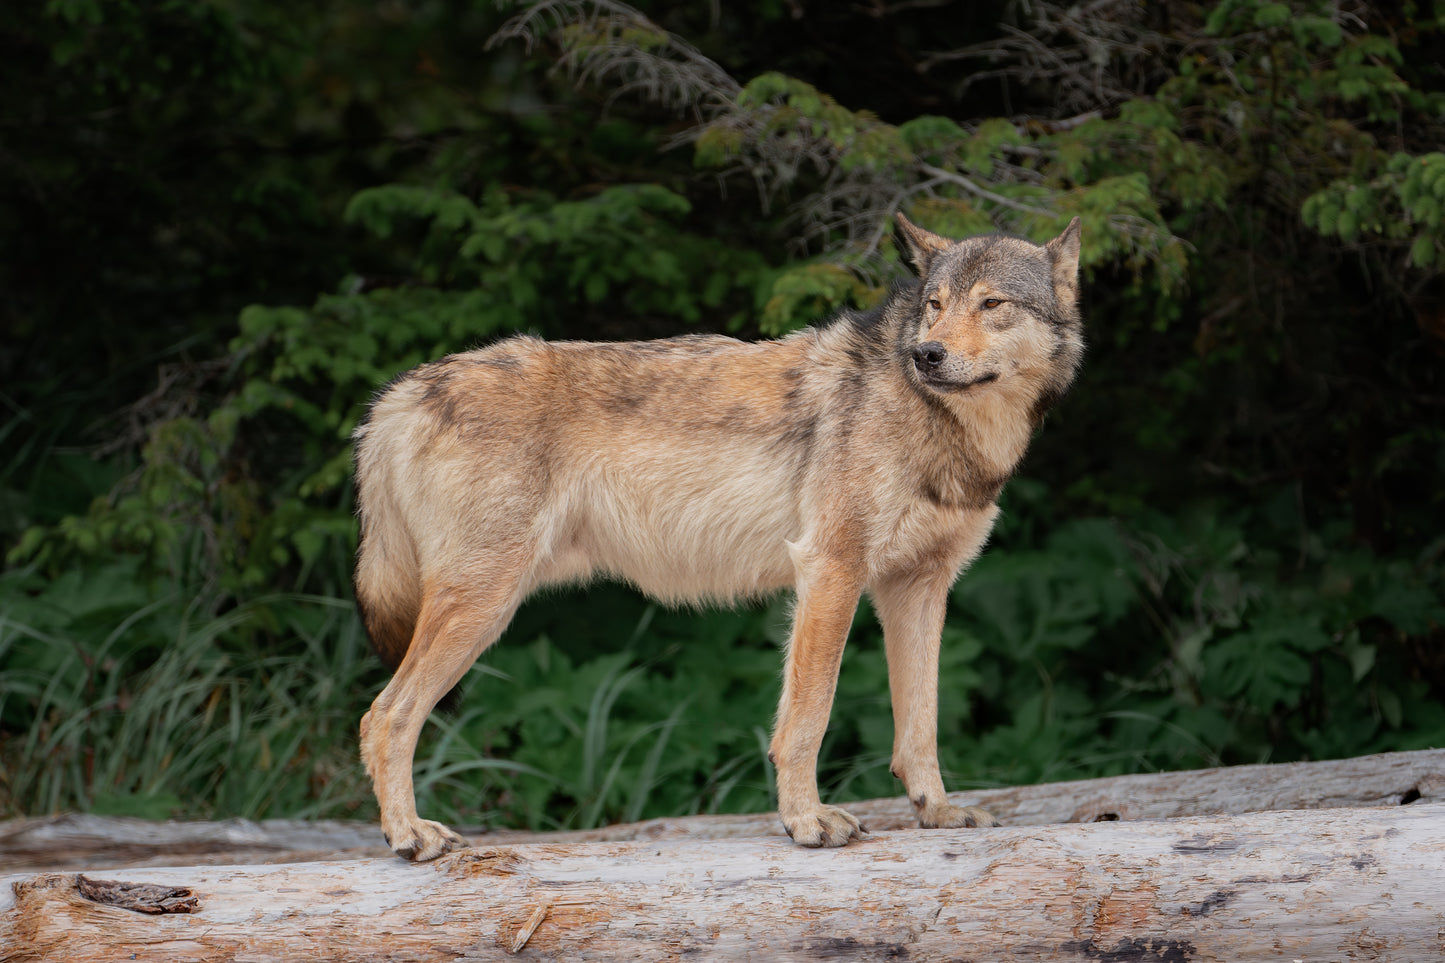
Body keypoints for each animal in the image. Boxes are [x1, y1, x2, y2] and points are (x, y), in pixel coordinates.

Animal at [352, 214, 1086, 856]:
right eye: (935, 304)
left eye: (991, 303)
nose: (926, 354)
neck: (939, 422)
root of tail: (400, 393)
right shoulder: (830, 570)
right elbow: (808, 716)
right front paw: (807, 821)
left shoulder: (919, 589)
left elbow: (921, 724)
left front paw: (937, 812)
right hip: (482, 606)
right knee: (383, 714)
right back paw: (409, 835)